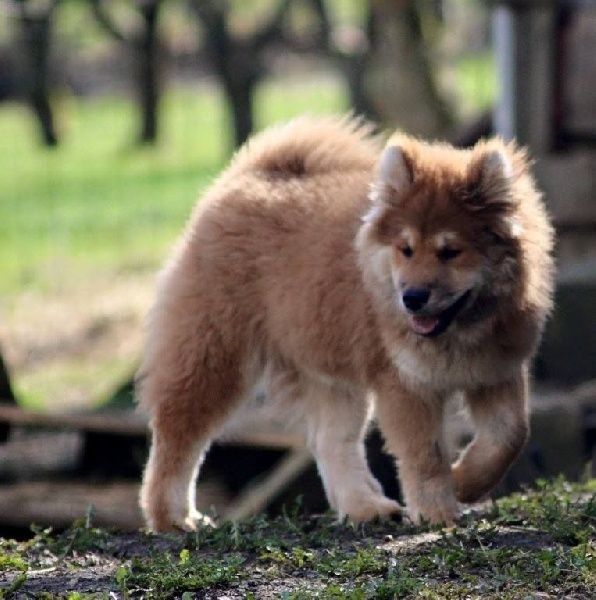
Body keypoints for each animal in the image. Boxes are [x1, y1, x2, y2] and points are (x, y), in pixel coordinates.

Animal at [139, 116, 556, 528]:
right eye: (406, 250)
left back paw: (365, 507)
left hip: (332, 374)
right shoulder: (405, 385)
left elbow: (508, 437)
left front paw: (466, 482)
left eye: (450, 252)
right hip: (214, 355)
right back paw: (173, 518)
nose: (412, 297)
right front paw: (437, 511)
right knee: (177, 438)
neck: (461, 331)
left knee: (331, 443)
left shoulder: (495, 371)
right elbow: (425, 455)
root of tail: (244, 178)